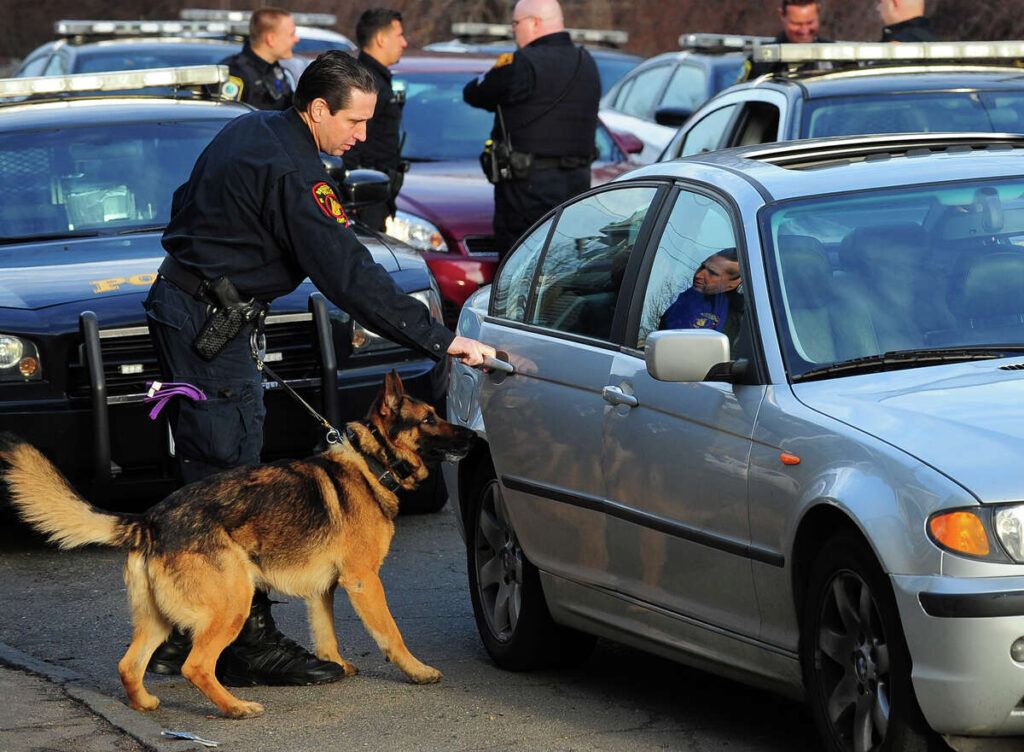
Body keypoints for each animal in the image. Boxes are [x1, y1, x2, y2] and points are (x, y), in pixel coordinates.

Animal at [0, 374, 475, 721]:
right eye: (430, 418)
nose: (472, 438)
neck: (372, 463)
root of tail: (150, 520)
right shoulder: (363, 581)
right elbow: (391, 634)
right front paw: (416, 671)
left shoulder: (324, 590)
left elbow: (326, 634)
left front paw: (335, 664)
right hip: (234, 601)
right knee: (195, 665)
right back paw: (234, 708)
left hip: (159, 619)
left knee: (129, 666)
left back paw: (147, 705)